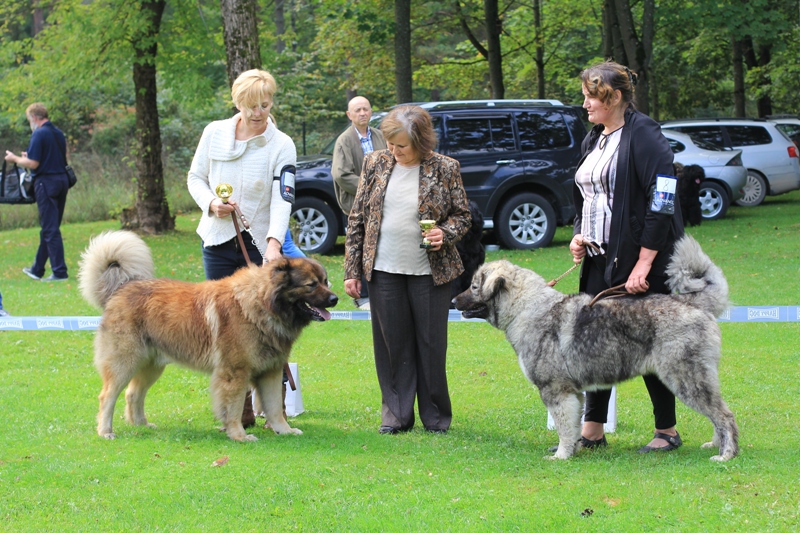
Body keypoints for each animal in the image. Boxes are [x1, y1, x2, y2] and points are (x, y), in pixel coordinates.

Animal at [81, 229, 340, 440]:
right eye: (311, 285)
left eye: (325, 281)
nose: (335, 299)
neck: (260, 305)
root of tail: (122, 288)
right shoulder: (235, 373)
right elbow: (234, 407)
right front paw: (239, 435)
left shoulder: (271, 371)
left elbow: (275, 406)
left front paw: (284, 430)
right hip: (125, 362)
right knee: (107, 396)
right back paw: (105, 431)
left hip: (152, 366)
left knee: (133, 394)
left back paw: (142, 425)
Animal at [454, 235, 740, 460]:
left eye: (474, 286)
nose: (454, 301)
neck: (526, 308)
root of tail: (695, 304)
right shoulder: (574, 394)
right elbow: (573, 425)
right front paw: (574, 448)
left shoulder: (556, 391)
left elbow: (563, 428)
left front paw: (561, 455)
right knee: (718, 414)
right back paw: (714, 444)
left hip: (686, 380)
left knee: (725, 416)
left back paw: (726, 454)